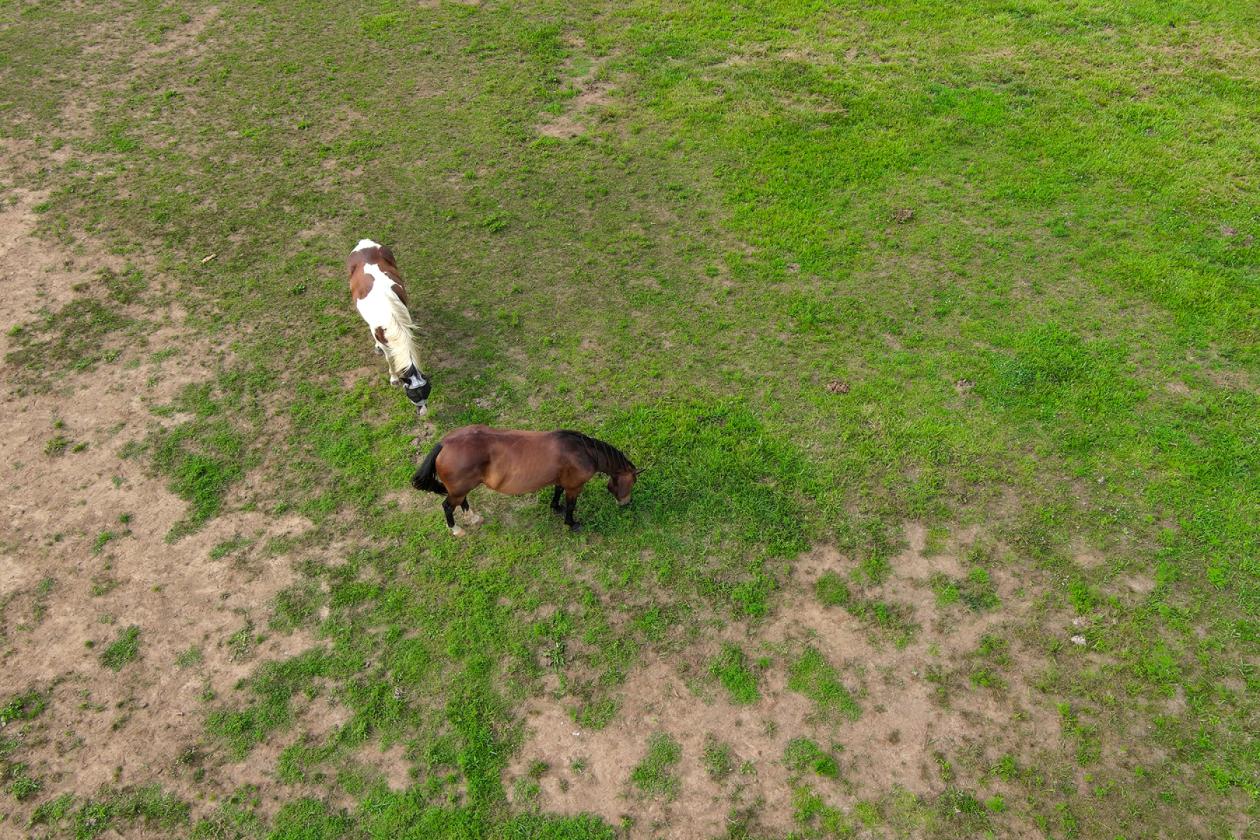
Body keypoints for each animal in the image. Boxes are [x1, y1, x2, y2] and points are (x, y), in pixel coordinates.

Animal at [347, 239, 432, 414]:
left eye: (427, 391)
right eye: (413, 395)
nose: (423, 412)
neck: (393, 320)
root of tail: (365, 242)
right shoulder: (384, 341)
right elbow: (389, 358)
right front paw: (393, 378)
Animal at [411, 426, 642, 535]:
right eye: (631, 482)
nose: (626, 503)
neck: (583, 452)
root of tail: (445, 443)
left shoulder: (562, 479)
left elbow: (557, 491)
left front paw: (555, 507)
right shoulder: (575, 486)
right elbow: (571, 505)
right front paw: (571, 523)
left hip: (461, 487)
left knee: (462, 502)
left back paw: (473, 518)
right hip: (458, 490)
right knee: (447, 506)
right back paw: (456, 529)